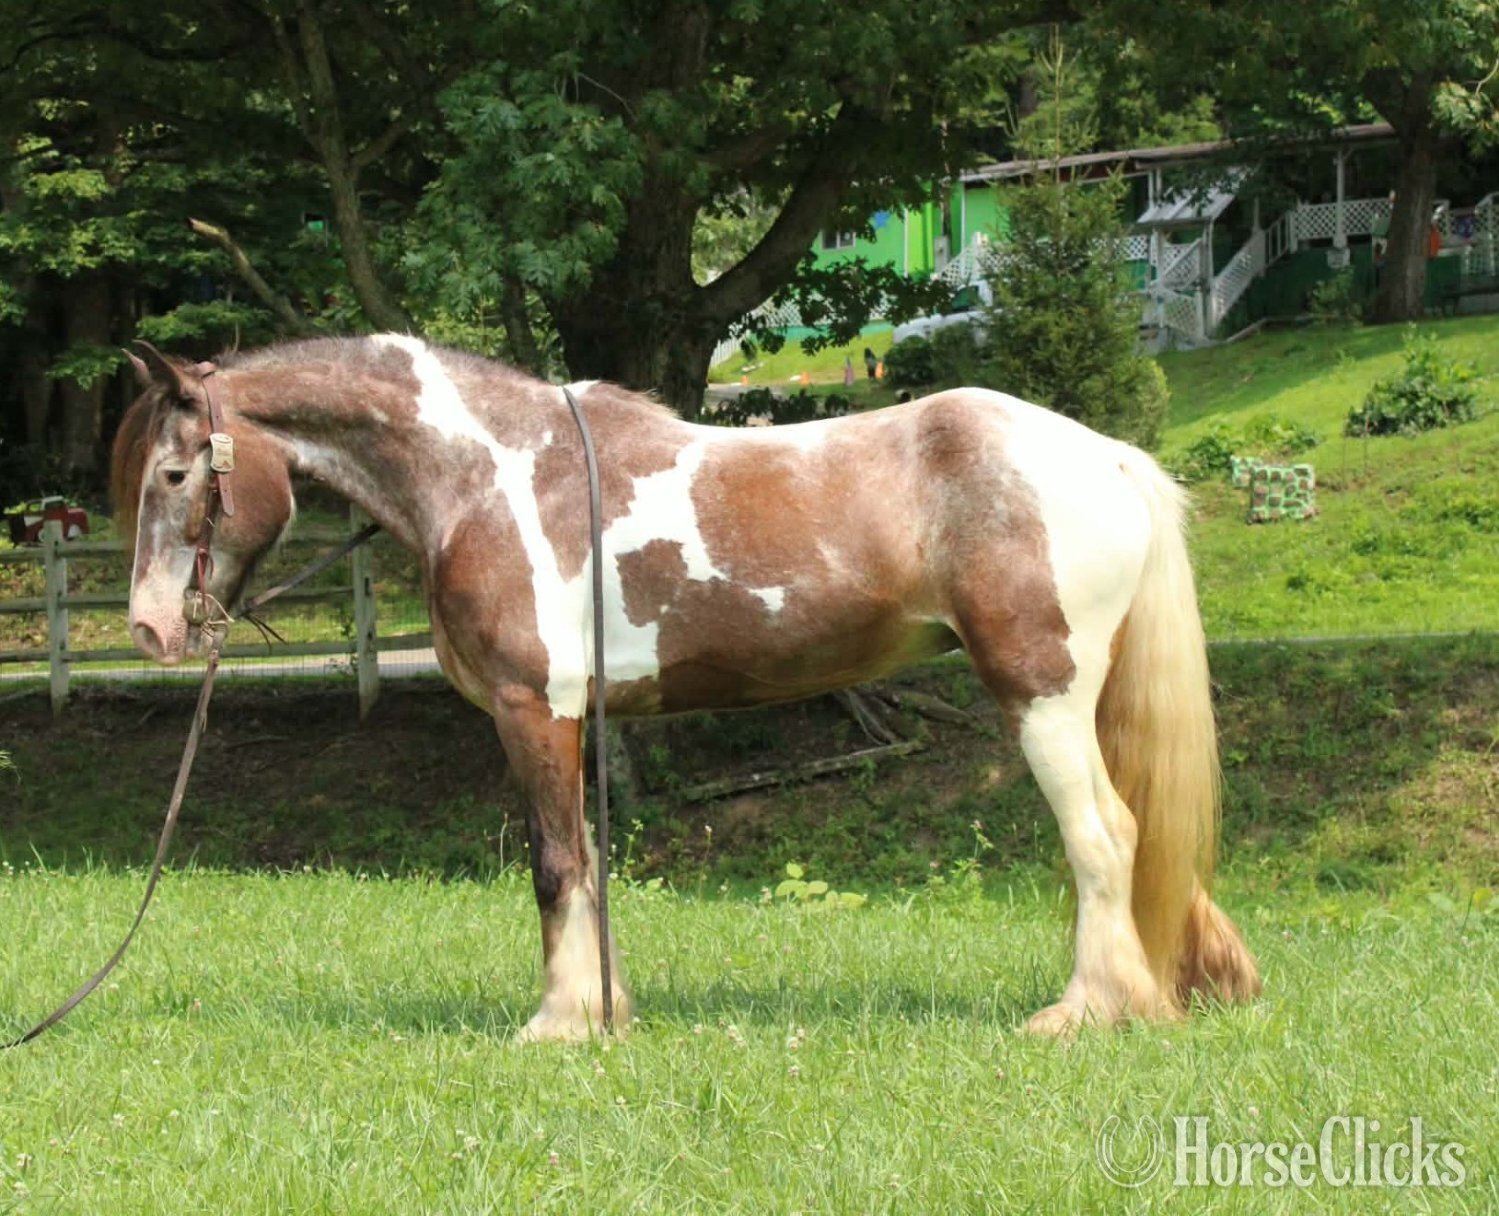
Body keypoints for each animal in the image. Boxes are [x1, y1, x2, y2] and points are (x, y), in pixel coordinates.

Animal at [111, 334, 1260, 1041]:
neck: (488, 476)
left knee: (1101, 837)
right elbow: (589, 863)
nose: (152, 627)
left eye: (173, 474)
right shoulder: (576, 723)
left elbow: (554, 866)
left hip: (1040, 695)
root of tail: (1108, 457)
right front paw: (603, 1010)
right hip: (1080, 700)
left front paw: (559, 1021)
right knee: (1138, 832)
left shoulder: (535, 712)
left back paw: (1085, 1010)